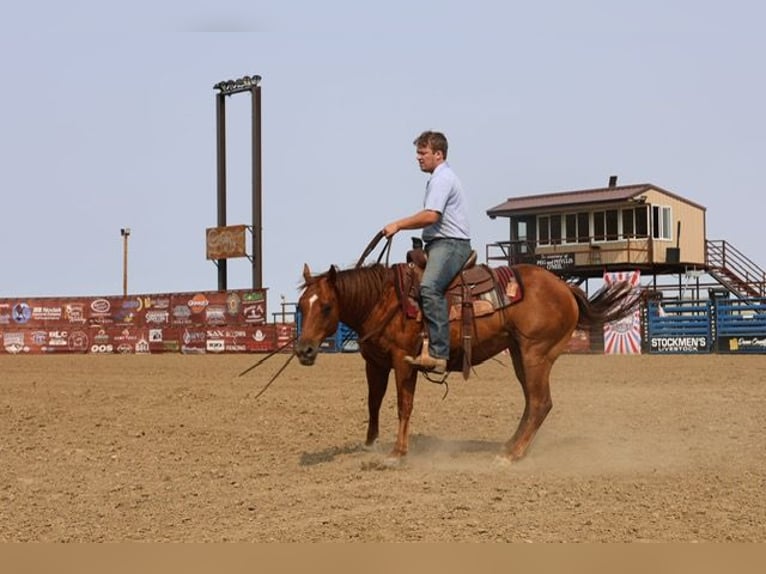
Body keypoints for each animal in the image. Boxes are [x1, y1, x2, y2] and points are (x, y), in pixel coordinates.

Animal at [295, 257, 639, 464]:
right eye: (301, 306)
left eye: (326, 306)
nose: (304, 350)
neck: (384, 300)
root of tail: (565, 287)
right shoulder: (375, 362)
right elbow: (373, 403)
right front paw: (369, 446)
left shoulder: (404, 361)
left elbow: (404, 405)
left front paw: (397, 453)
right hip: (519, 354)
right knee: (532, 402)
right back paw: (509, 446)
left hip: (536, 354)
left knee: (541, 402)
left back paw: (512, 455)